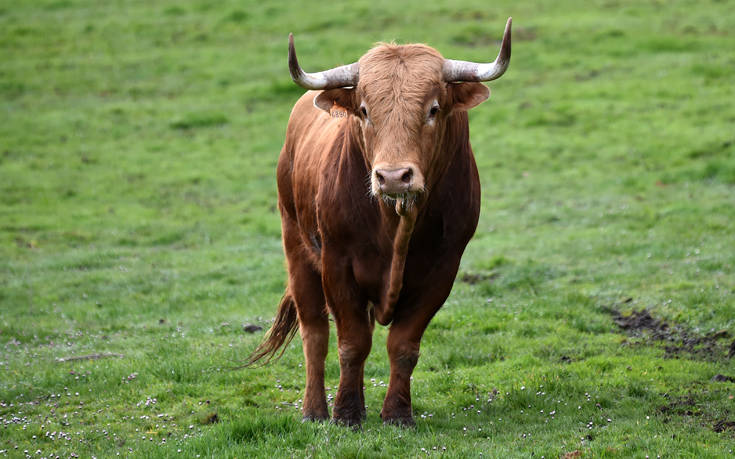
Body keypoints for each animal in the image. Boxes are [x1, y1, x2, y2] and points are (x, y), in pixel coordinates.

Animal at [250, 18, 516, 428]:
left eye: (433, 109)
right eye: (364, 110)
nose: (393, 177)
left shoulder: (443, 269)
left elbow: (403, 345)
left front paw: (397, 414)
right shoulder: (337, 264)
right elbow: (351, 343)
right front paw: (346, 414)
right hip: (296, 245)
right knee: (314, 333)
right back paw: (314, 410)